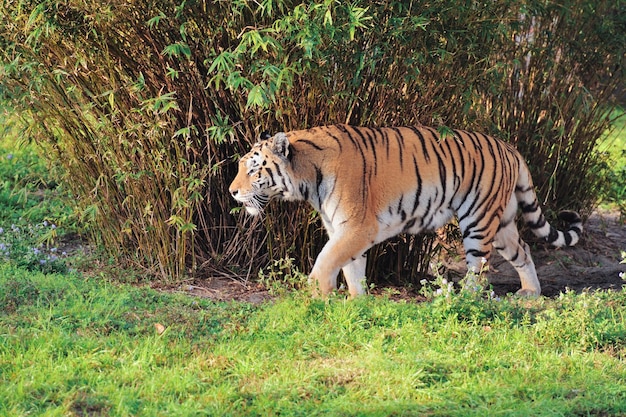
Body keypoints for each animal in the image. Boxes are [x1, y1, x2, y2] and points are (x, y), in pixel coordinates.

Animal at [228, 125, 580, 298]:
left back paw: (462, 300)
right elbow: (352, 269)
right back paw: (530, 294)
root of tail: (509, 147)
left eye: (253, 170)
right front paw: (357, 304)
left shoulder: (357, 226)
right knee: (523, 251)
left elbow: (325, 263)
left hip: (478, 220)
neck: (306, 178)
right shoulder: (345, 229)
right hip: (503, 221)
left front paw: (317, 298)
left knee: (478, 269)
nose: (232, 191)